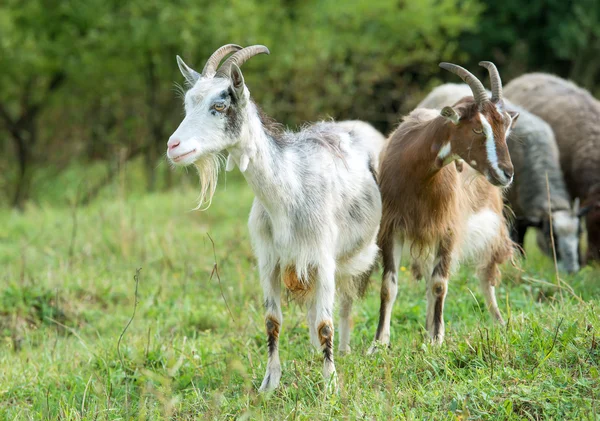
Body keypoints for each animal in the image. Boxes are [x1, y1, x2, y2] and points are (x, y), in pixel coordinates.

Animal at [168, 44, 384, 388]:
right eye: (188, 103)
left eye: (220, 105)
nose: (173, 147)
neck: (288, 195)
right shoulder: (269, 261)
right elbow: (273, 321)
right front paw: (269, 383)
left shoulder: (323, 257)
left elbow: (325, 322)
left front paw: (330, 384)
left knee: (363, 296)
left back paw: (360, 348)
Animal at [368, 60, 516, 346]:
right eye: (478, 128)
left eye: (505, 127)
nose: (507, 173)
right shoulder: (393, 228)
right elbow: (388, 286)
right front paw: (379, 343)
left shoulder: (447, 228)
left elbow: (440, 284)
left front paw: (436, 339)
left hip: (490, 224)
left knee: (486, 275)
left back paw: (499, 322)